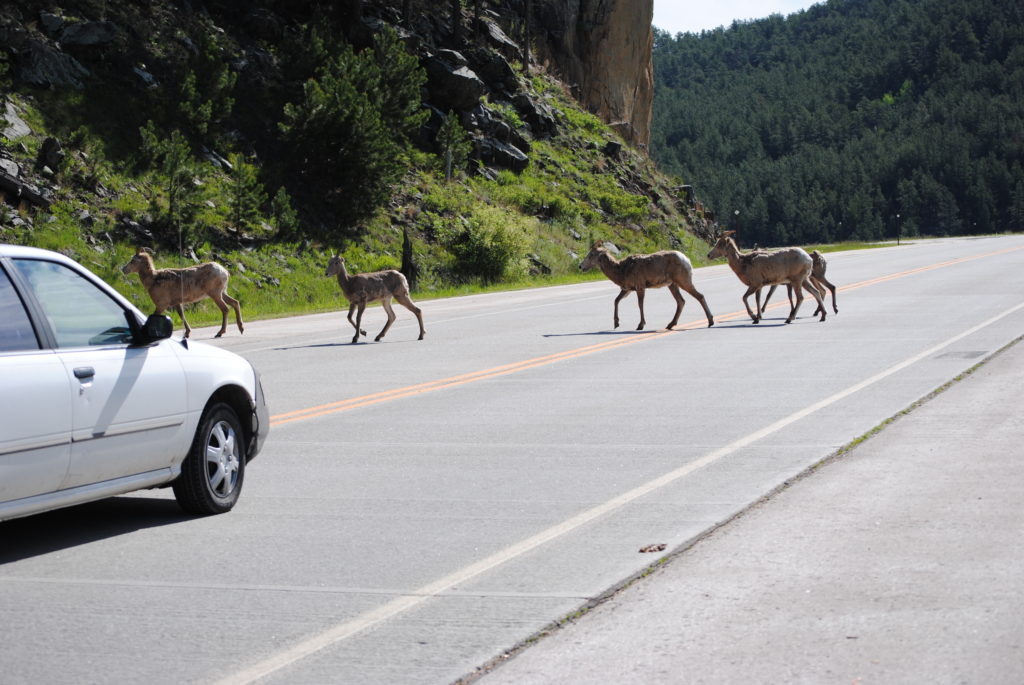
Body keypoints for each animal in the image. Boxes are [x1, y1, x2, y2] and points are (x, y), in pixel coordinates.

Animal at [579, 241, 715, 330]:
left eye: (591, 255)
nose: (581, 266)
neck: (621, 270)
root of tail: (687, 260)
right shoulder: (627, 289)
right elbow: (616, 301)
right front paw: (616, 323)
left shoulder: (640, 287)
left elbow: (640, 305)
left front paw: (640, 325)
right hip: (672, 285)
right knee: (681, 301)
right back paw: (670, 324)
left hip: (683, 281)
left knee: (699, 296)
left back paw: (710, 322)